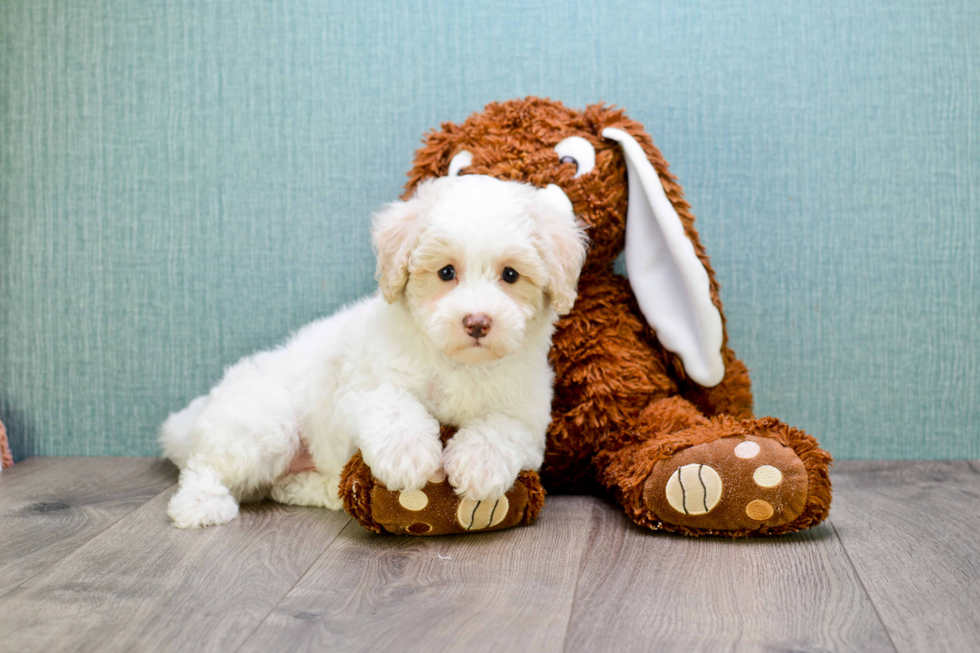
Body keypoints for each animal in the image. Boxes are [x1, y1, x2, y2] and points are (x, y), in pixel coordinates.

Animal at [162, 176, 588, 528]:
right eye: (446, 273)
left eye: (511, 275)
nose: (477, 322)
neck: (459, 364)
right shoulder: (362, 385)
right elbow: (392, 405)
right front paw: (409, 456)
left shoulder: (528, 415)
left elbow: (502, 427)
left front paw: (478, 465)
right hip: (264, 424)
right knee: (206, 464)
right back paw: (201, 504)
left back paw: (301, 487)